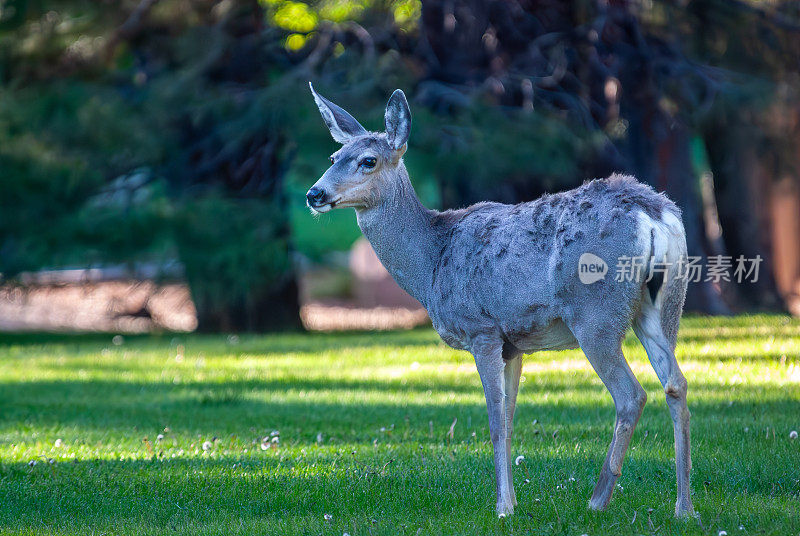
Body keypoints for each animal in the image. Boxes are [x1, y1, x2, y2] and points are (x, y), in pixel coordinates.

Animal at [306, 85, 692, 520]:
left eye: (368, 161)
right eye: (333, 158)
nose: (314, 194)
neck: (431, 263)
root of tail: (654, 213)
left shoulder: (482, 328)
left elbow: (493, 421)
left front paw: (503, 507)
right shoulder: (514, 342)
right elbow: (508, 419)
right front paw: (514, 500)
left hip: (596, 313)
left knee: (631, 395)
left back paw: (598, 499)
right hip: (664, 303)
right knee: (676, 383)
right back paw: (684, 507)